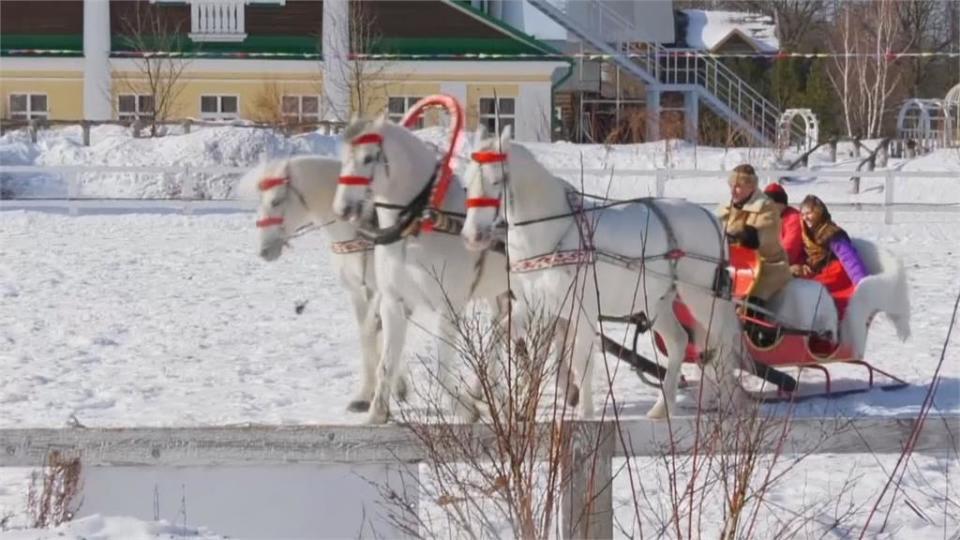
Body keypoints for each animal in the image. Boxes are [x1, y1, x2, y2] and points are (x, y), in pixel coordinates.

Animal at [242, 156, 406, 414]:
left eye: (276, 201)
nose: (264, 250)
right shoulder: (358, 292)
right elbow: (368, 336)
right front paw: (365, 395)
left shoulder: (384, 291)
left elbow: (374, 330)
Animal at [334, 116, 520, 424]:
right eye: (343, 157)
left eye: (369, 158)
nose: (342, 208)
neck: (420, 225)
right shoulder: (393, 303)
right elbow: (386, 362)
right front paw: (377, 412)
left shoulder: (449, 306)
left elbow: (442, 363)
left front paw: (463, 408)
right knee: (498, 329)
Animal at [462, 125, 748, 418]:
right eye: (466, 182)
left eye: (496, 181)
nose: (473, 235)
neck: (554, 231)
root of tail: (708, 215)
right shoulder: (537, 305)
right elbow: (502, 335)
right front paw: (477, 396)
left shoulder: (583, 310)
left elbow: (581, 360)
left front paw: (585, 413)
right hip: (656, 301)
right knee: (680, 341)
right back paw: (663, 407)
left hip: (702, 297)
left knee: (722, 342)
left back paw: (730, 402)